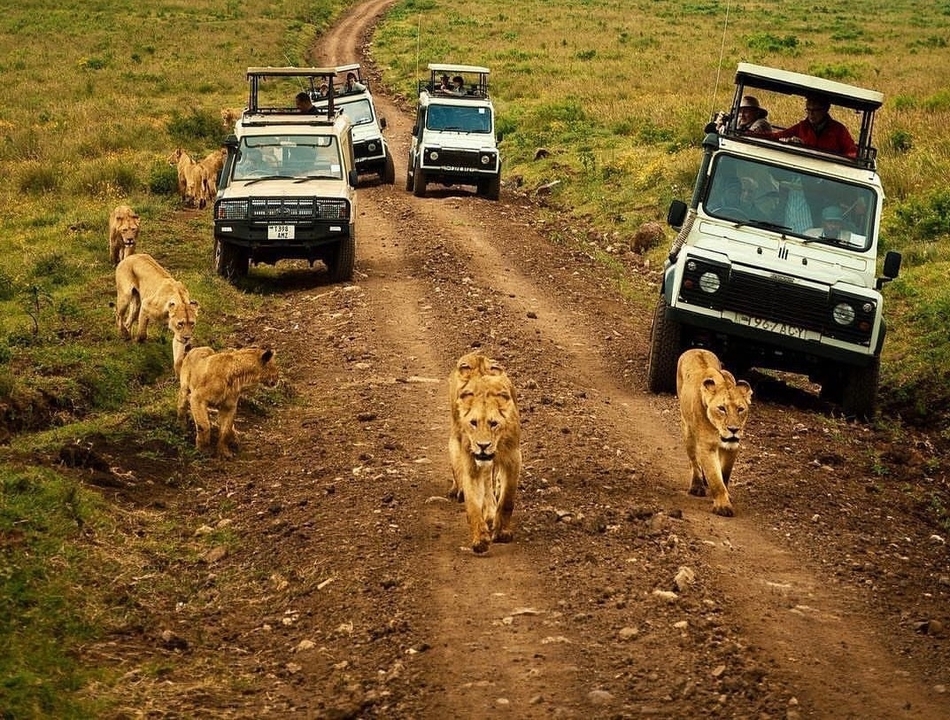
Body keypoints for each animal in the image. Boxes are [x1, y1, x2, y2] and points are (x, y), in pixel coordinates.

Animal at [448, 355, 521, 554]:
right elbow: (473, 505)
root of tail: (477, 357)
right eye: (473, 423)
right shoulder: (471, 464)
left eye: (493, 423)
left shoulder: (513, 457)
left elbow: (507, 499)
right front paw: (480, 540)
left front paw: (502, 532)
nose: (483, 446)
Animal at [676, 348, 753, 517]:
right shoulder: (707, 446)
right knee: (693, 461)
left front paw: (726, 495)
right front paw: (723, 506)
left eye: (740, 409)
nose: (733, 429)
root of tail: (696, 349)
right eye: (721, 408)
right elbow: (715, 477)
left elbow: (724, 474)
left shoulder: (733, 447)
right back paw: (697, 486)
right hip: (688, 431)